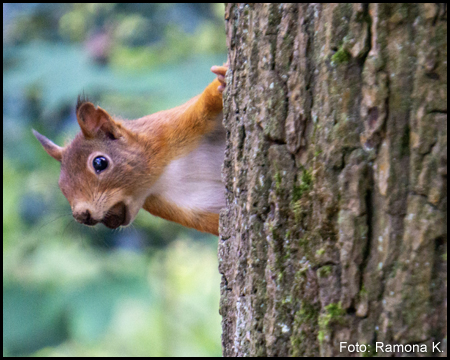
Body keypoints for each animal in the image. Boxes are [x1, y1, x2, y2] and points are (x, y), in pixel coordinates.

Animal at [33, 63, 229, 235]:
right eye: (61, 185)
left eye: (100, 163)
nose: (82, 216)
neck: (163, 176)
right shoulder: (183, 207)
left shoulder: (173, 127)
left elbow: (208, 99)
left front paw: (222, 78)